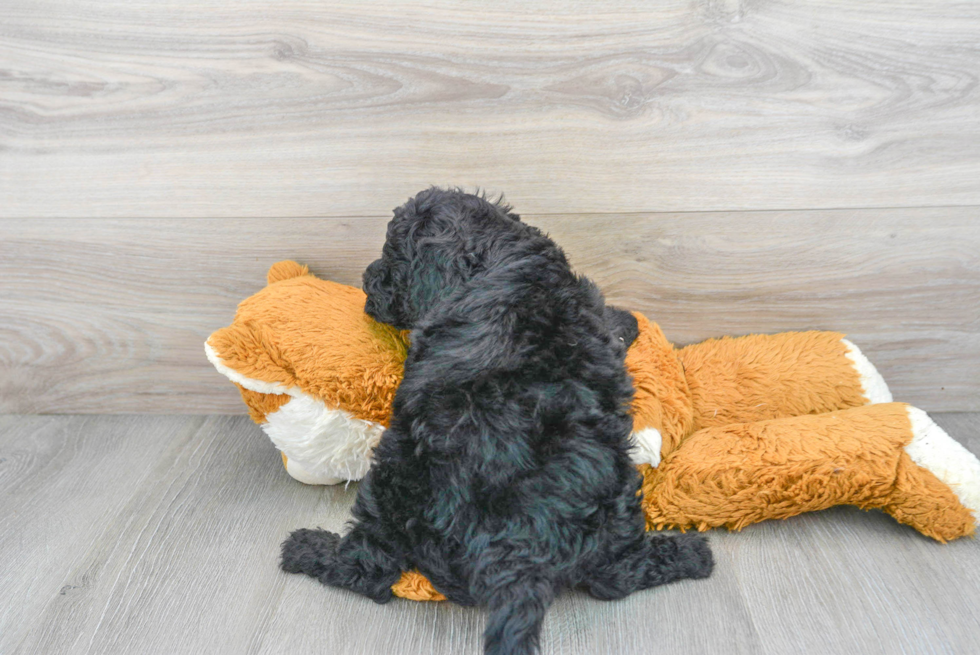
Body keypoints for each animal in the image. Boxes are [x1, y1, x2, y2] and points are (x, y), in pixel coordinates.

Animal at [282, 187, 712, 655]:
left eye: (392, 256)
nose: (366, 279)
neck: (496, 254)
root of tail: (519, 549)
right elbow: (607, 320)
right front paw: (627, 321)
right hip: (618, 491)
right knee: (617, 575)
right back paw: (693, 554)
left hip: (392, 480)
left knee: (369, 569)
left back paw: (305, 548)